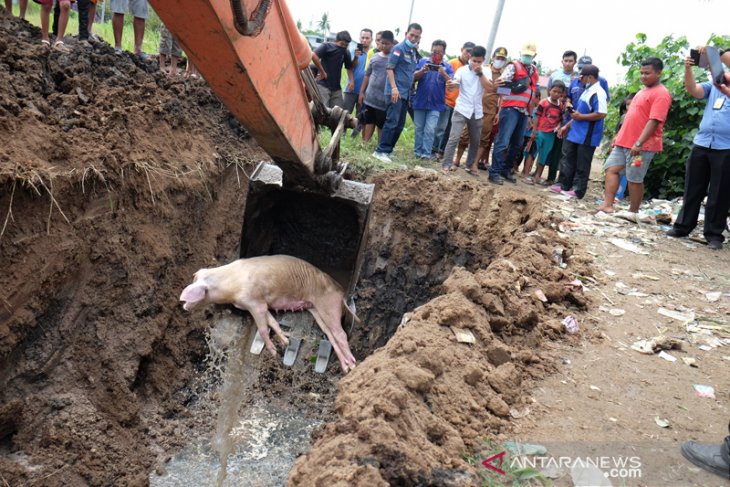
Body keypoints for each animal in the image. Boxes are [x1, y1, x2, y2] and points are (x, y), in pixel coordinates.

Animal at [178, 255, 356, 374]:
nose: (183, 305)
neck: (230, 288)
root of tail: (342, 291)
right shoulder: (261, 305)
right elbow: (272, 322)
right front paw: (285, 340)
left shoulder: (254, 302)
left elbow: (263, 328)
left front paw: (274, 351)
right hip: (317, 311)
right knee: (331, 336)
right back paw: (346, 366)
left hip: (329, 305)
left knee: (341, 334)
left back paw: (353, 365)